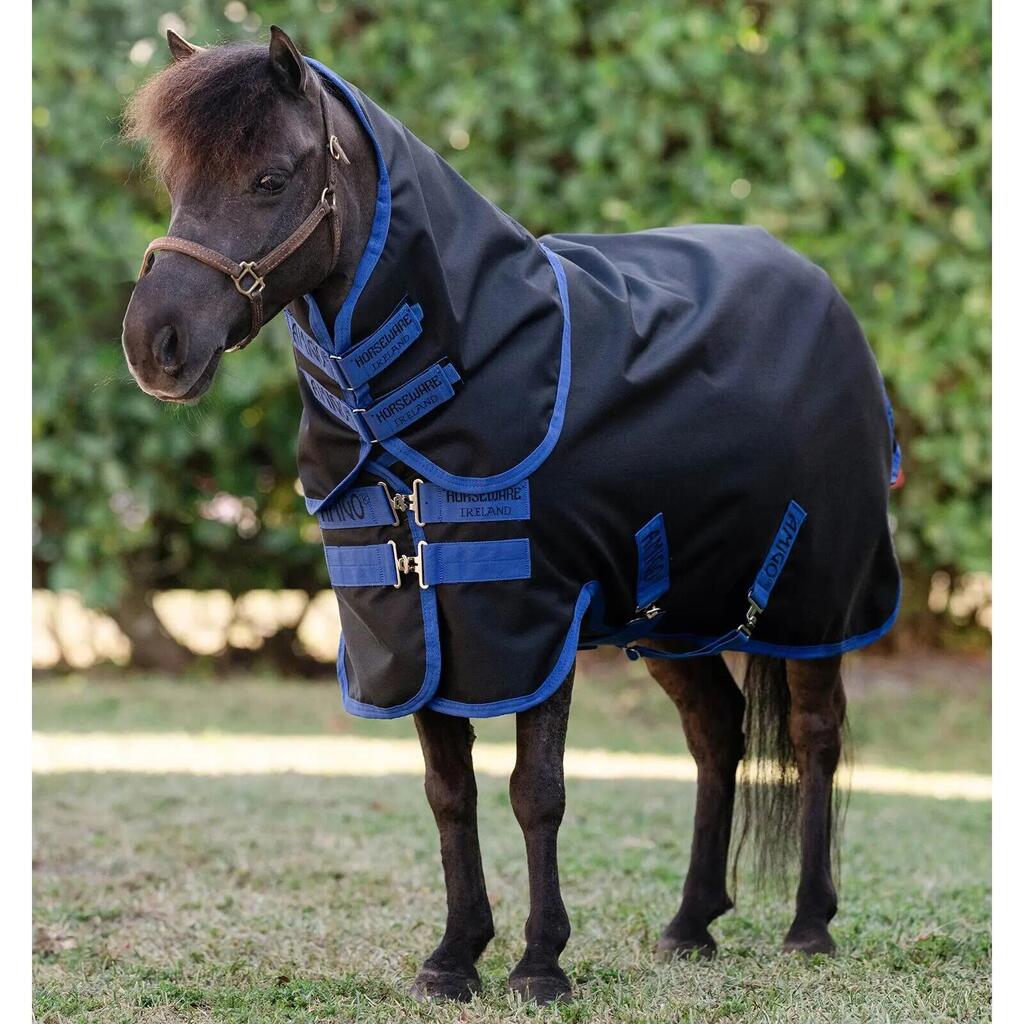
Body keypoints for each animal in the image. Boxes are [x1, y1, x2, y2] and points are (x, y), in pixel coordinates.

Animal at [121, 28, 900, 1005]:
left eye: (269, 177)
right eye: (177, 182)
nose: (154, 344)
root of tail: (821, 288)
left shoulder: (537, 619)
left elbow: (538, 791)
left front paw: (540, 964)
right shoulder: (413, 629)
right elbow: (449, 791)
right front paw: (455, 956)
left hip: (813, 601)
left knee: (813, 735)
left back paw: (809, 926)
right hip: (669, 618)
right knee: (716, 733)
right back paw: (689, 924)